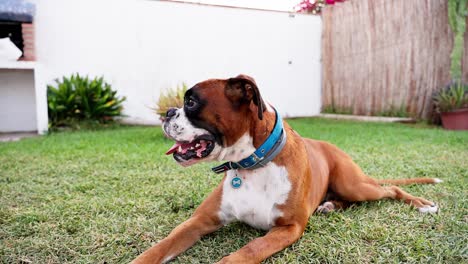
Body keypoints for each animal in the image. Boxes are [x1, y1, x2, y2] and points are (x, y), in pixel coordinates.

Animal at [133, 75, 442, 264]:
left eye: (191, 102)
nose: (167, 113)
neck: (252, 164)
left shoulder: (289, 227)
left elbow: (250, 249)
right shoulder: (198, 221)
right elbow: (162, 245)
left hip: (355, 185)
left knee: (391, 188)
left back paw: (422, 204)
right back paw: (329, 206)